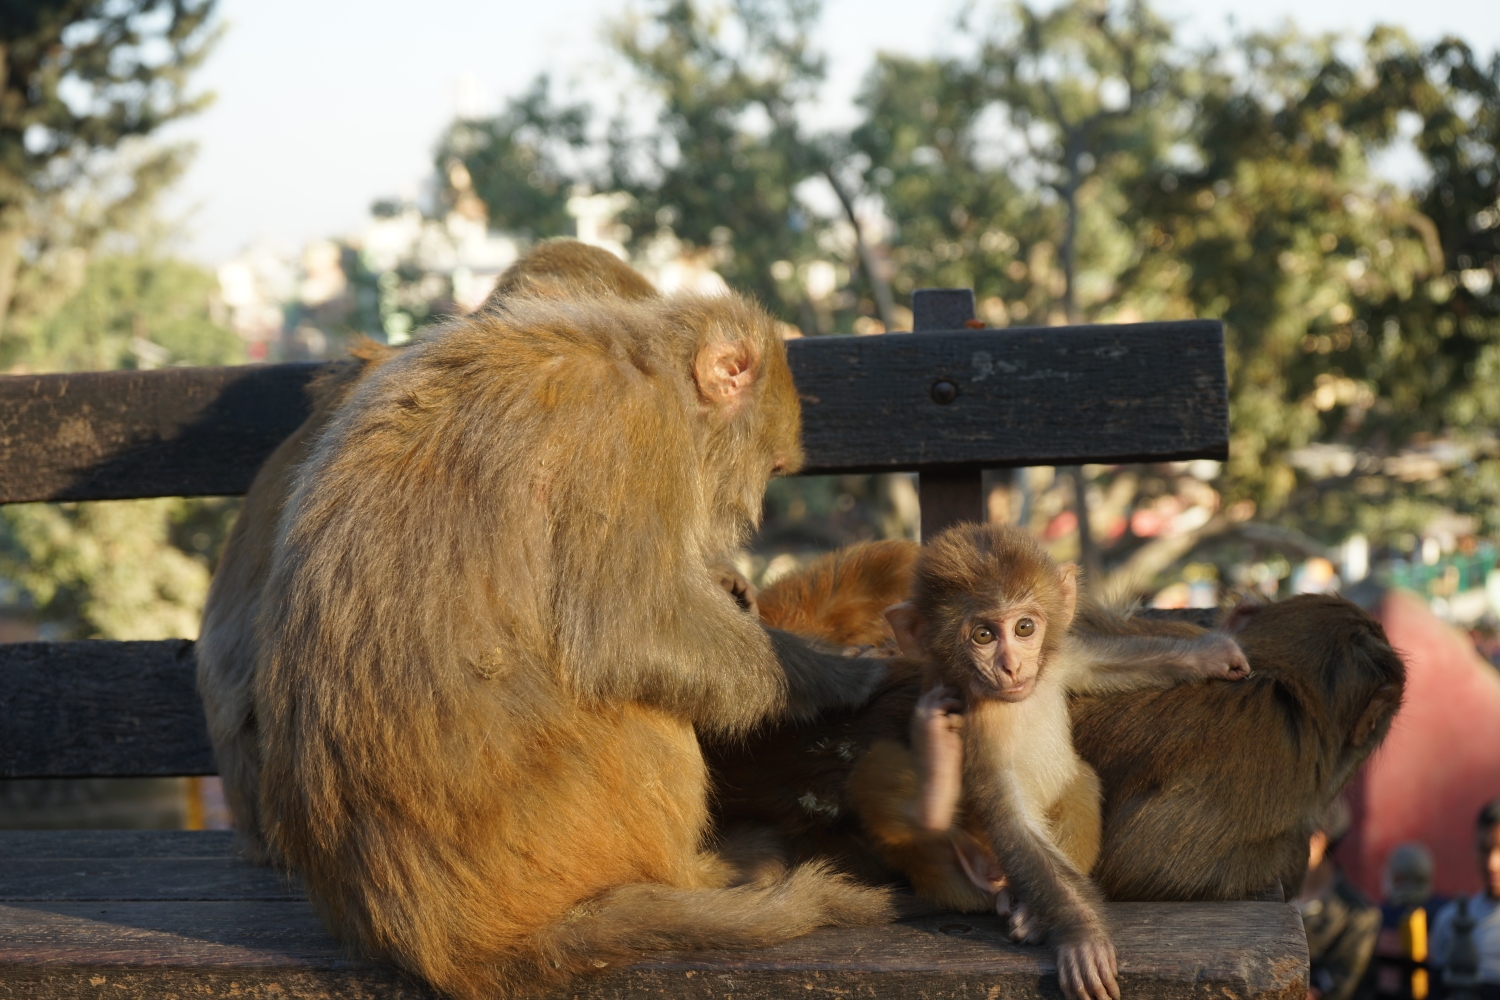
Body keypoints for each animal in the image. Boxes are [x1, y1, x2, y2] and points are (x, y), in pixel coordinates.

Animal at [252, 287, 894, 1000]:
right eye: (772, 467)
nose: (751, 513)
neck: (646, 366)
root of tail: (439, 940)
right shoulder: (626, 435)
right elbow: (628, 632)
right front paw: (831, 675)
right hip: (563, 839)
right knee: (636, 700)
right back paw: (702, 876)